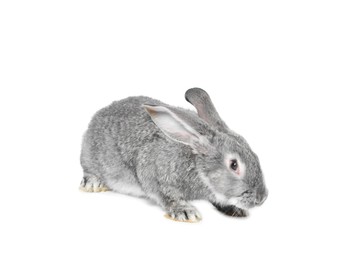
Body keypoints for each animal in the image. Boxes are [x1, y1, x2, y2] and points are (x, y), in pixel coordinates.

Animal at [79, 88, 268, 222]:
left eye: (255, 156)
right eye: (234, 165)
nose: (262, 198)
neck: (197, 166)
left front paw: (236, 210)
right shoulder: (155, 174)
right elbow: (167, 195)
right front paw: (185, 211)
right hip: (91, 158)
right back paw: (93, 184)